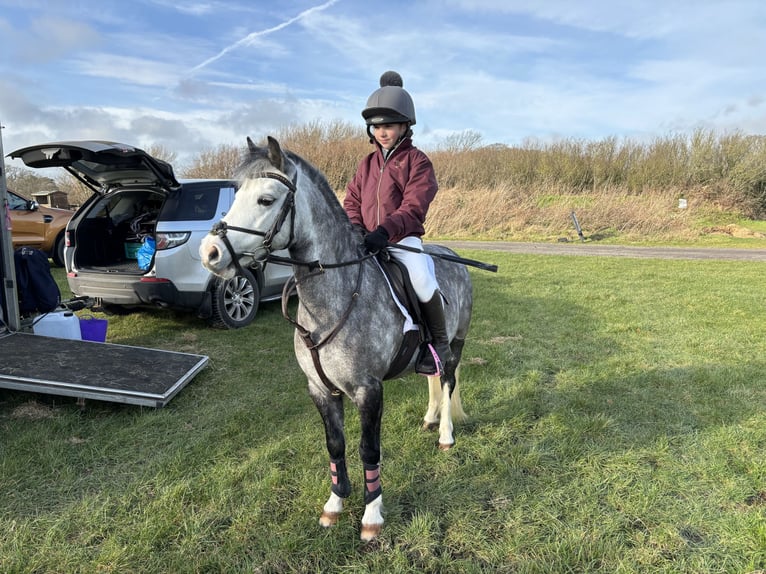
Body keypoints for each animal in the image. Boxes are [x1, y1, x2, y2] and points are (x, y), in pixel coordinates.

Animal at [200, 137, 474, 544]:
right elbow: (336, 445)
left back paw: (445, 435)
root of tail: (452, 255)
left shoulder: (368, 390)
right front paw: (334, 504)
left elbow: (368, 449)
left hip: (454, 344)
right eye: (235, 195)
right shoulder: (319, 389)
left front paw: (372, 516)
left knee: (447, 379)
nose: (209, 254)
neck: (331, 300)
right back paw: (429, 419)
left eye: (266, 200)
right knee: (432, 378)